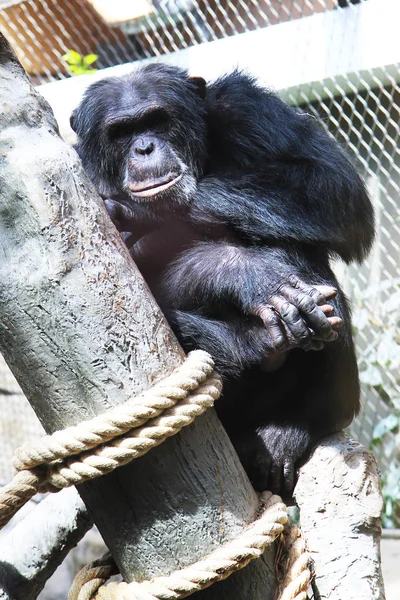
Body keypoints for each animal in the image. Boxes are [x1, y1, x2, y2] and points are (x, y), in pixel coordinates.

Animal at [70, 63, 374, 494]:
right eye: (121, 132)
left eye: (157, 120)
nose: (144, 147)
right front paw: (249, 275)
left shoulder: (245, 105)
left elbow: (331, 184)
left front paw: (141, 213)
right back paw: (258, 342)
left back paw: (294, 427)